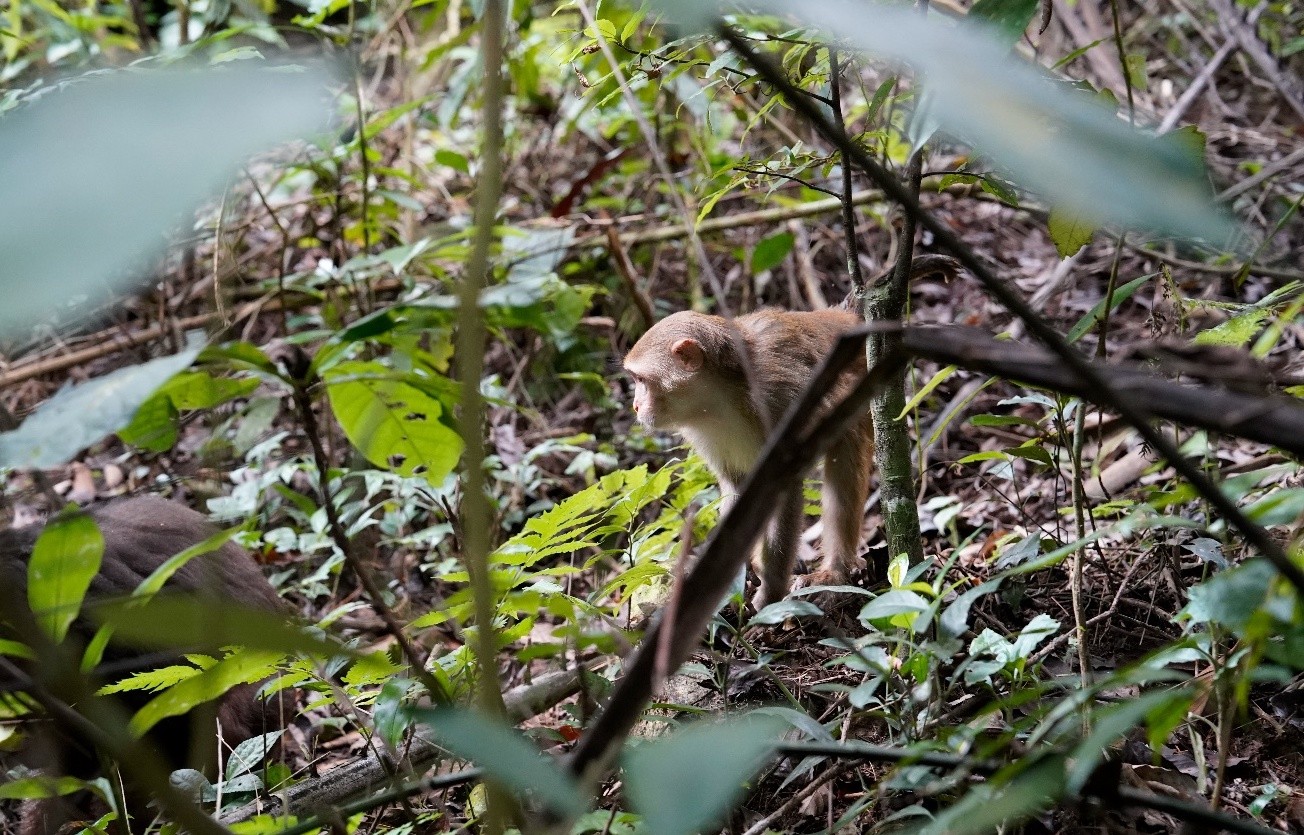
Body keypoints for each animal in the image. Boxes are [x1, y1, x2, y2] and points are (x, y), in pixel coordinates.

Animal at [623, 306, 871, 605]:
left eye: (641, 381)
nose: (636, 405)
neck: (720, 399)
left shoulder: (777, 402)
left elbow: (782, 487)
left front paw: (769, 595)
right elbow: (738, 488)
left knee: (847, 445)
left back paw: (834, 572)